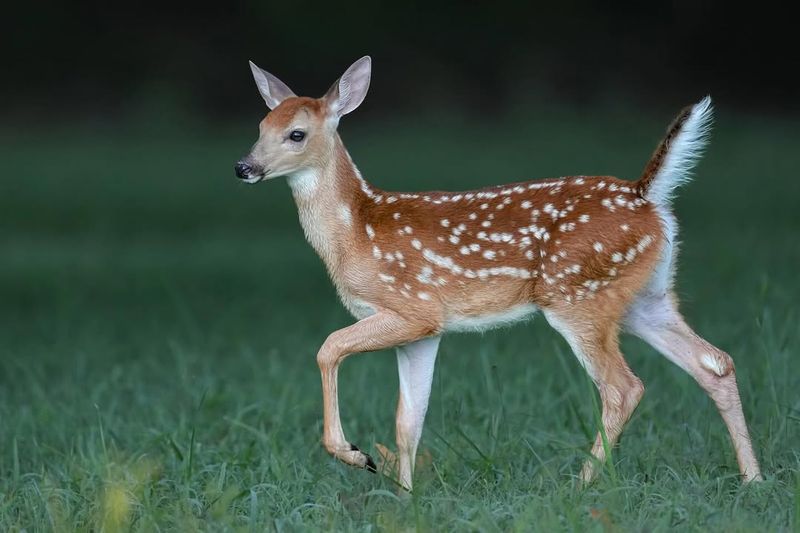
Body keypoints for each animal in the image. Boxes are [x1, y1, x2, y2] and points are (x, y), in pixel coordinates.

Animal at [234, 56, 763, 491]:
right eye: (260, 125)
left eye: (296, 133)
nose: (244, 166)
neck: (356, 232)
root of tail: (645, 194)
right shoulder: (424, 331)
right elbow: (409, 419)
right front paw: (405, 498)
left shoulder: (411, 307)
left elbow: (328, 349)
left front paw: (354, 454)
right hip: (644, 298)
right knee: (715, 362)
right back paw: (754, 479)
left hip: (578, 296)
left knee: (623, 387)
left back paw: (578, 486)